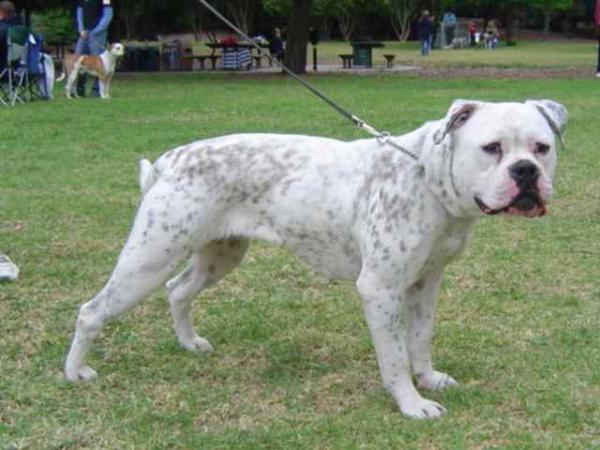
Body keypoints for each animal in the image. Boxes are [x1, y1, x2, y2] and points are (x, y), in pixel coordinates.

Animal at [65, 100, 568, 420]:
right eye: (491, 148)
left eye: (542, 148)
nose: (526, 172)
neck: (426, 175)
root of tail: (170, 160)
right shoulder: (381, 289)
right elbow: (393, 357)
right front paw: (411, 404)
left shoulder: (426, 284)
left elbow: (419, 340)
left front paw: (428, 379)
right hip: (148, 260)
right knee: (91, 311)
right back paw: (76, 372)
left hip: (217, 258)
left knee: (178, 292)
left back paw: (190, 344)